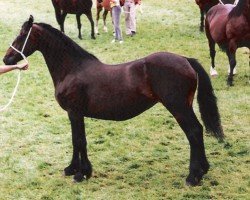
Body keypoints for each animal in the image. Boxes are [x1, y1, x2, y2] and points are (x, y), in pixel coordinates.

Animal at [2, 15, 224, 186]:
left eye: (22, 35)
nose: (7, 59)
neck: (72, 69)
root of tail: (186, 60)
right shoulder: (76, 115)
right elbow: (77, 140)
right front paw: (74, 169)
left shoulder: (75, 113)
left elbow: (79, 140)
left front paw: (81, 174)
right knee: (197, 132)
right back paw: (202, 170)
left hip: (178, 108)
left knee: (194, 132)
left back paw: (193, 176)